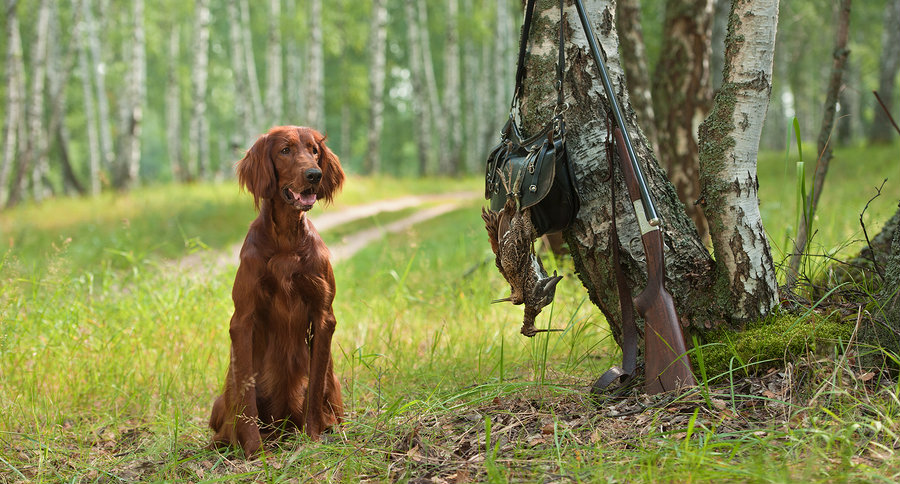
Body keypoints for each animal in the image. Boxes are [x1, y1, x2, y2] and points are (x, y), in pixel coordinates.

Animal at [209, 125, 346, 458]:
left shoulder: (323, 316)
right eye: (285, 150)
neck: (285, 240)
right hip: (221, 399)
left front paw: (312, 437)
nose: (314, 174)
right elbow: (246, 397)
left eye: (314, 150)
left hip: (335, 385)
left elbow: (314, 386)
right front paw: (253, 452)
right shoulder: (243, 319)